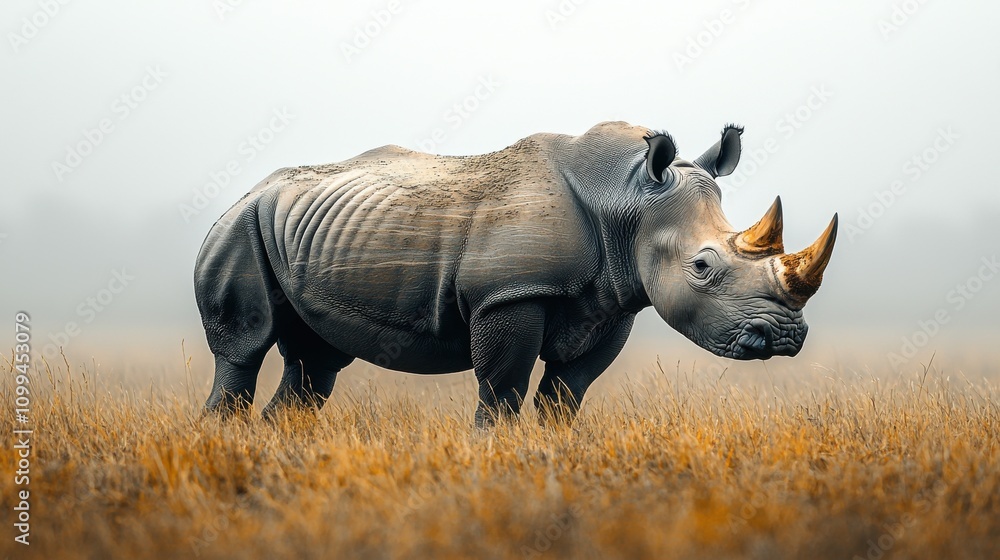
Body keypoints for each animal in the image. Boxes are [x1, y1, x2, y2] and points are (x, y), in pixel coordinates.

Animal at [194, 121, 837, 425]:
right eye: (702, 267)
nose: (783, 338)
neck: (627, 201)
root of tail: (251, 189)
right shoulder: (508, 293)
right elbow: (501, 389)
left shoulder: (612, 302)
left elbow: (566, 394)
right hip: (241, 222)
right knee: (244, 349)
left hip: (304, 229)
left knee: (315, 365)